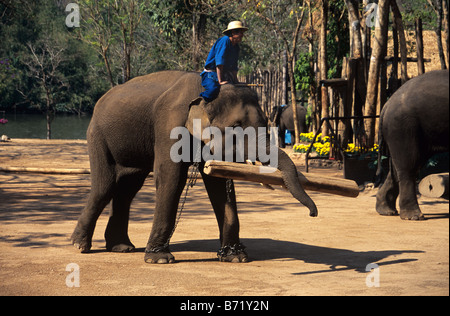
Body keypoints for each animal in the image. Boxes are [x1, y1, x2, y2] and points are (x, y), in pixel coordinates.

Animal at [70, 70, 318, 262]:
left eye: (266, 122)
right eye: (237, 126)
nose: (313, 214)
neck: (207, 91)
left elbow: (219, 184)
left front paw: (235, 257)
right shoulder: (169, 124)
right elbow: (171, 178)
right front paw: (159, 259)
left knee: (127, 189)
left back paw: (122, 248)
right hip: (97, 135)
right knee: (105, 186)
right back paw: (79, 246)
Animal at [378, 69, 448, 220]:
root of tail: (386, 105)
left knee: (398, 168)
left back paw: (386, 211)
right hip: (404, 127)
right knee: (409, 166)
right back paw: (414, 216)